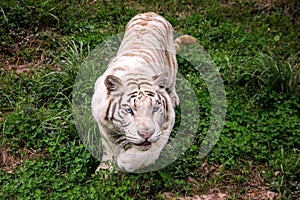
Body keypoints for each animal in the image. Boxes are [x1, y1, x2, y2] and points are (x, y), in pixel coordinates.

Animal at [91, 12, 197, 172]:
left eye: (155, 109)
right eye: (129, 110)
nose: (146, 134)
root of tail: (151, 13)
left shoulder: (168, 120)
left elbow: (148, 151)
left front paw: (125, 161)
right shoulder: (104, 124)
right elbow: (108, 148)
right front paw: (104, 170)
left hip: (171, 65)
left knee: (172, 83)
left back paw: (174, 97)